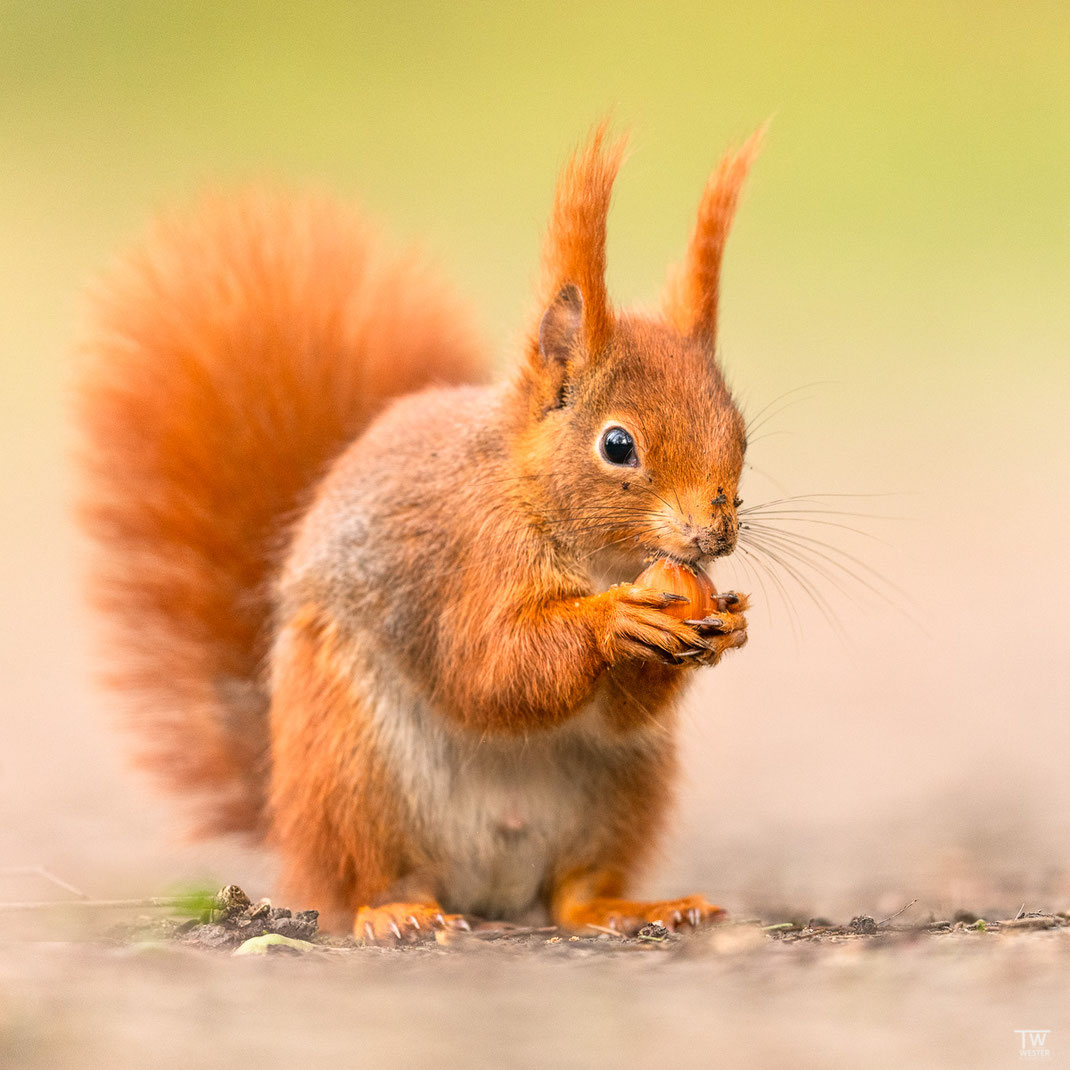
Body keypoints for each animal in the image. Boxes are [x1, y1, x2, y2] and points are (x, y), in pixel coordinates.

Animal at [77, 125, 761, 941]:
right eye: (618, 445)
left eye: (743, 437)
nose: (714, 533)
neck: (587, 546)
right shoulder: (466, 556)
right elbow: (489, 664)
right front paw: (615, 619)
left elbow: (620, 709)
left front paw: (728, 624)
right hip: (352, 766)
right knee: (372, 876)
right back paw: (397, 912)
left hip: (623, 788)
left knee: (572, 894)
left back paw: (637, 908)